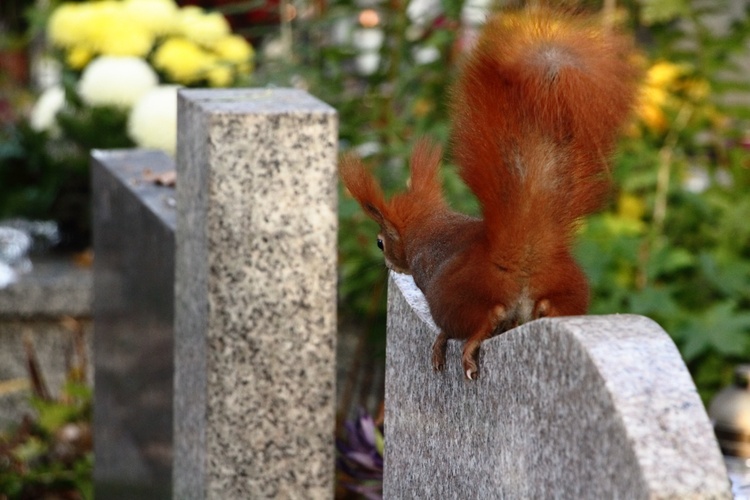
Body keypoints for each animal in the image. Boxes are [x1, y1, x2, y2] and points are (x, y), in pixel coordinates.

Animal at [340, 7, 640, 378]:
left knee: (481, 320)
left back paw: (466, 348)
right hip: (566, 291)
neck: (430, 224)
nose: (388, 265)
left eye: (380, 242)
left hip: (455, 298)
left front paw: (440, 343)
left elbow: (445, 330)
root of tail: (522, 257)